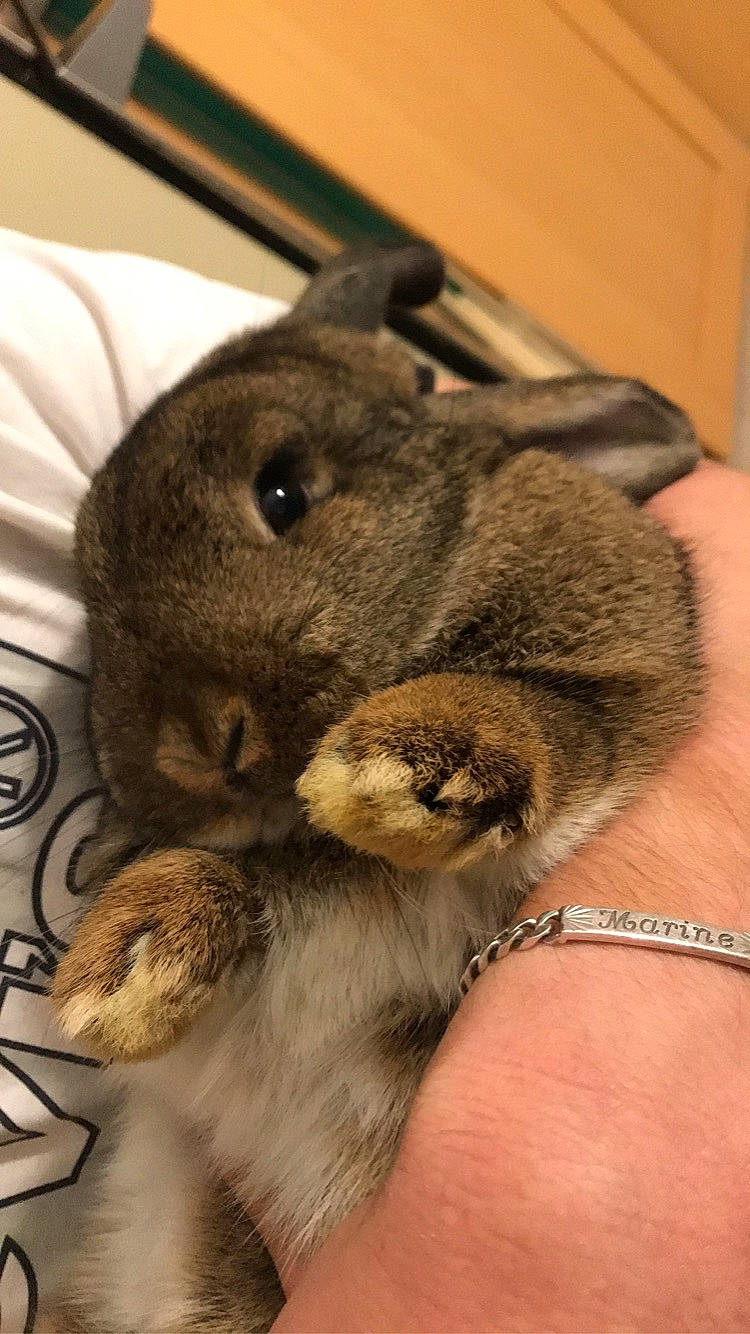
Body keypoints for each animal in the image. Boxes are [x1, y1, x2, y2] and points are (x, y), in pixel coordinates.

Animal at [48, 241, 703, 1332]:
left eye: (282, 493)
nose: (191, 752)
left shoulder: (625, 678)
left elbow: (555, 717)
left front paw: (391, 772)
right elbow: (216, 874)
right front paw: (118, 976)